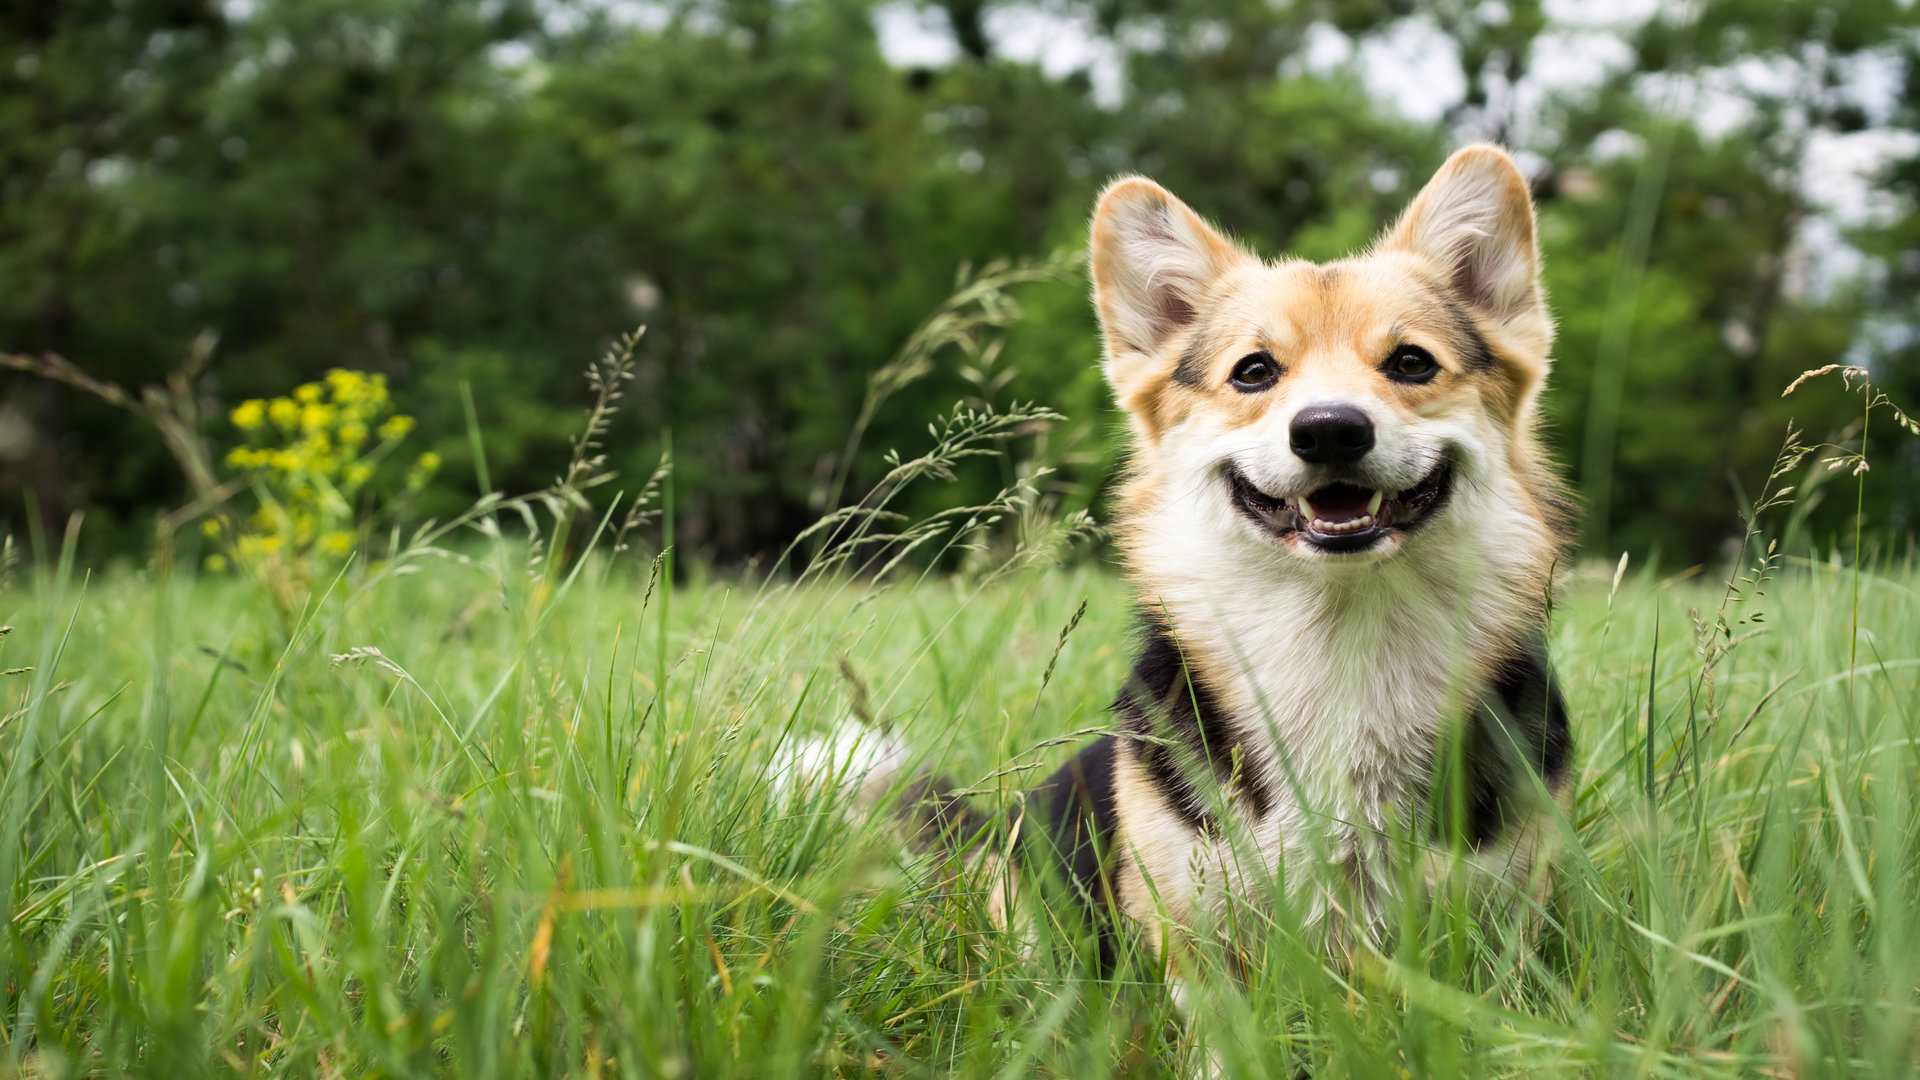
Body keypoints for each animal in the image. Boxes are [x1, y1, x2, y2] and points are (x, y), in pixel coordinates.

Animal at [787, 141, 1566, 968]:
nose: (1330, 430)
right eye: (1254, 371)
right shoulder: (1191, 935)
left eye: (1412, 363)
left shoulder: (1507, 926)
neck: (1340, 628)